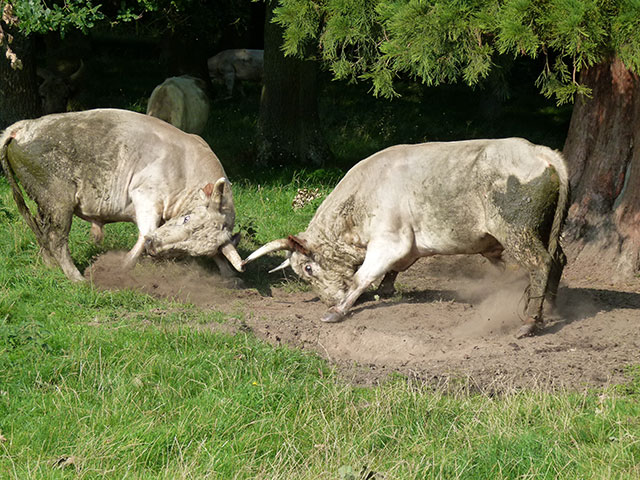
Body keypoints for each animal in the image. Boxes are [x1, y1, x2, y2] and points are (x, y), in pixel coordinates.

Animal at [0, 108, 243, 283]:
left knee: (42, 232)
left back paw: (51, 266)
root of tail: (23, 127)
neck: (184, 165)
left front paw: (229, 274)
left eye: (189, 250)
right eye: (186, 218)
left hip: (44, 203)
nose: (155, 246)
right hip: (58, 202)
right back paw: (77, 278)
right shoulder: (145, 196)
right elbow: (145, 232)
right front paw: (123, 266)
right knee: (56, 239)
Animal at [243, 138, 570, 338]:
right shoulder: (409, 247)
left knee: (540, 263)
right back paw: (551, 306)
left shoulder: (389, 241)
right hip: (544, 228)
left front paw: (338, 310)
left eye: (308, 269)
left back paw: (530, 321)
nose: (328, 299)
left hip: (517, 230)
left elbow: (363, 276)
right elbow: (392, 272)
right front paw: (385, 291)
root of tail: (541, 152)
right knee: (558, 260)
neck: (363, 193)